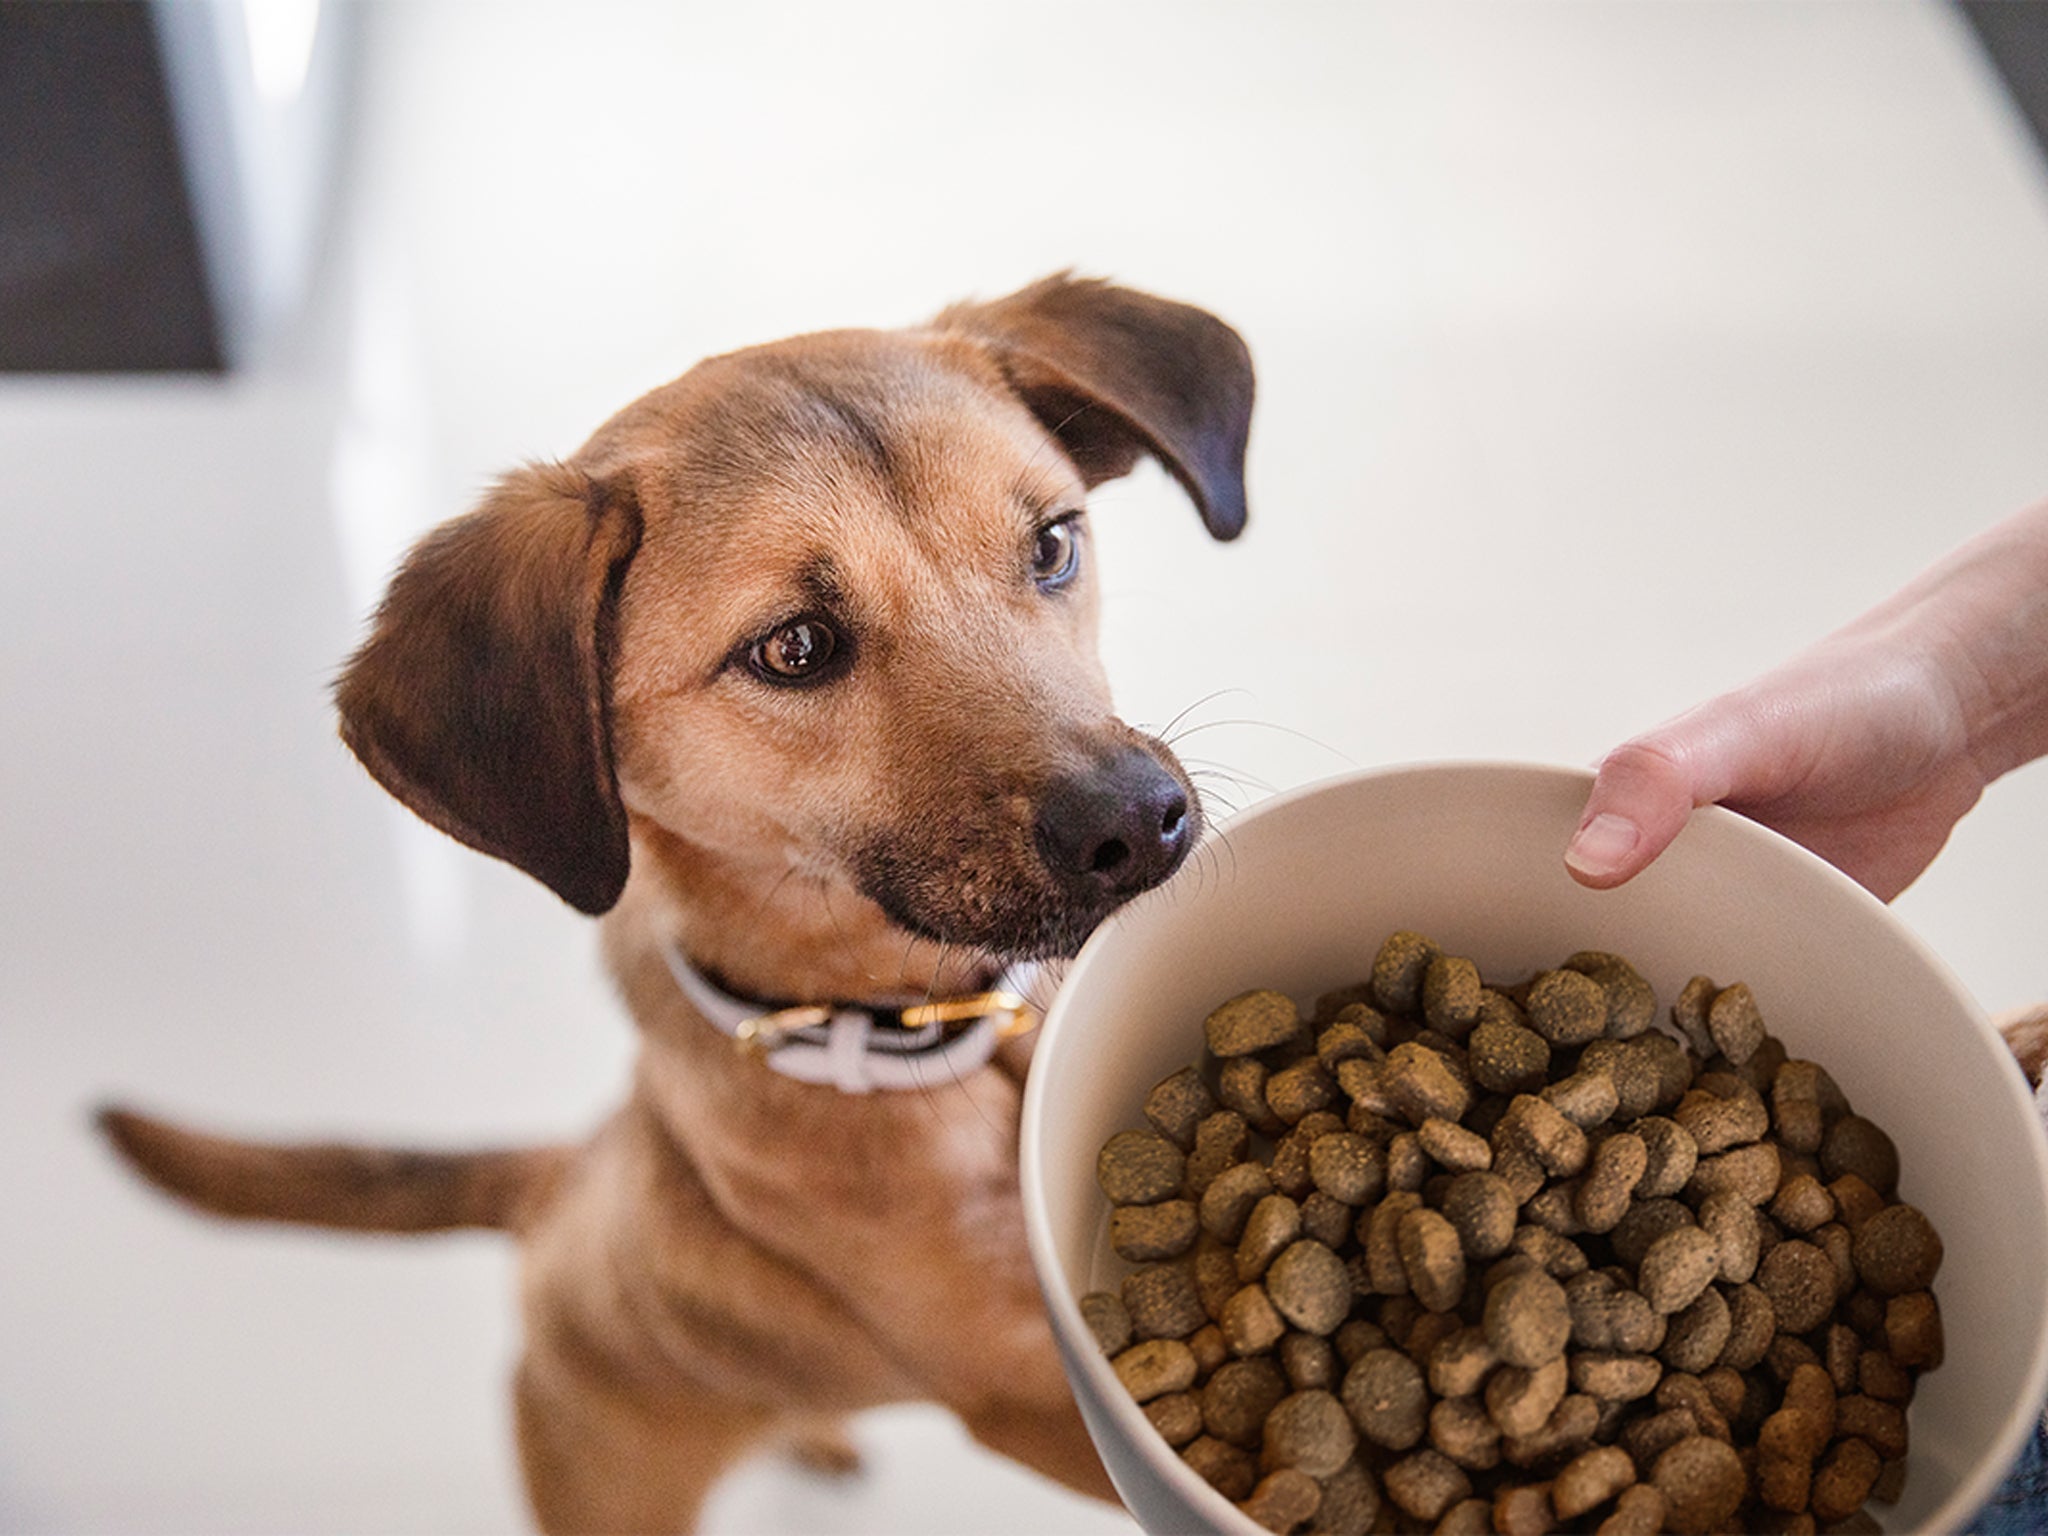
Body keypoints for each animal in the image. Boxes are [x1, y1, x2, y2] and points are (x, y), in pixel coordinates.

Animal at [103, 276, 1253, 1536]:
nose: (1138, 822)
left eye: (1051, 544)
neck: (929, 1042)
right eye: (794, 648)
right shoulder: (1023, 1395)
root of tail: (557, 1185)